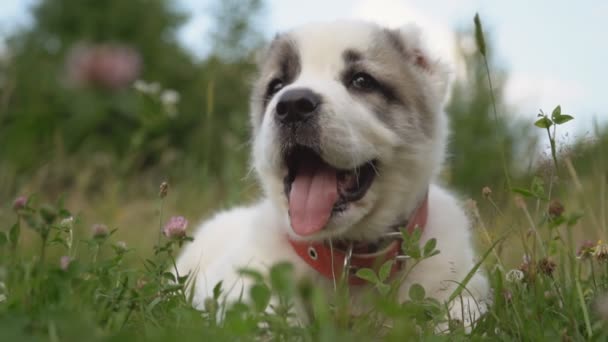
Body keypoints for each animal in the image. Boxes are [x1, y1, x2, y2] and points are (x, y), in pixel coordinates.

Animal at [176, 20, 490, 328]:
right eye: (277, 85)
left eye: (362, 81)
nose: (292, 105)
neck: (346, 258)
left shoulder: (463, 288)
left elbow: (460, 316)